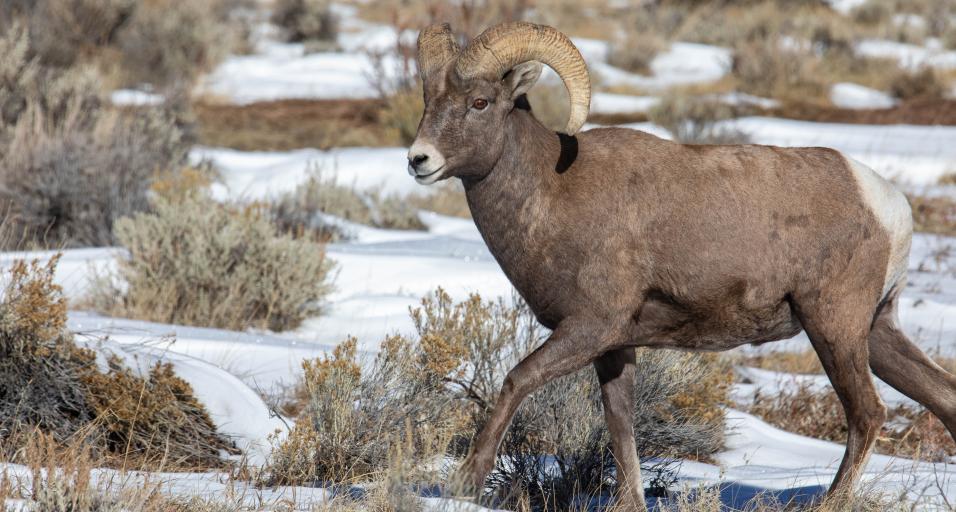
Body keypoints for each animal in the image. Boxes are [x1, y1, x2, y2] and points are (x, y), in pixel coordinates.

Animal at [408, 21, 954, 510]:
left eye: (480, 102)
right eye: (427, 101)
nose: (418, 160)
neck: (553, 193)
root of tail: (888, 204)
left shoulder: (588, 327)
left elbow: (516, 380)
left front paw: (465, 485)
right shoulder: (614, 347)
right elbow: (621, 424)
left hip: (833, 326)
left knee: (867, 413)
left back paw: (828, 503)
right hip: (876, 332)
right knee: (941, 397)